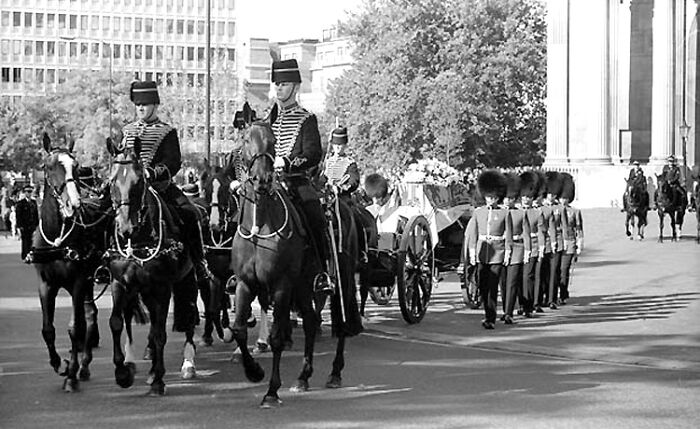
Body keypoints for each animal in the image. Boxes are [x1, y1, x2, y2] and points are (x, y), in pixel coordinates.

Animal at [32, 133, 111, 392]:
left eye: (75, 167)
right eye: (49, 166)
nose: (73, 204)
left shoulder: (77, 282)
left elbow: (76, 328)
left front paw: (71, 375)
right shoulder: (45, 284)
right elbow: (48, 329)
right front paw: (59, 364)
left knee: (88, 317)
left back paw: (83, 366)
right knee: (90, 313)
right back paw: (83, 365)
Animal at [105, 137, 201, 394]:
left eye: (139, 181)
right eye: (112, 181)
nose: (125, 228)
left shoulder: (162, 287)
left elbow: (159, 333)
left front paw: (158, 379)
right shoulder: (121, 283)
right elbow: (116, 322)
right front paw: (122, 373)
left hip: (187, 279)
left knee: (189, 315)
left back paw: (188, 364)